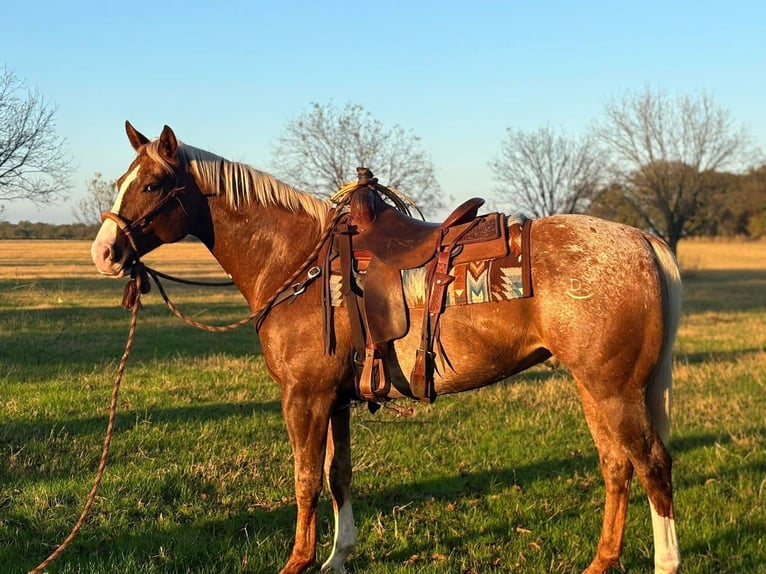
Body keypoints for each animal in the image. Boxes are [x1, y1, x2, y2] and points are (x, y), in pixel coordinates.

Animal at [91, 122, 682, 574]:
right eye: (122, 181)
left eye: (151, 186)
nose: (104, 251)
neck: (297, 262)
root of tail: (643, 240)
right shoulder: (334, 398)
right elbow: (338, 476)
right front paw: (338, 557)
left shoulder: (304, 398)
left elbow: (305, 479)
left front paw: (299, 561)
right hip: (595, 387)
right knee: (616, 465)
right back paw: (601, 562)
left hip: (614, 389)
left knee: (651, 465)